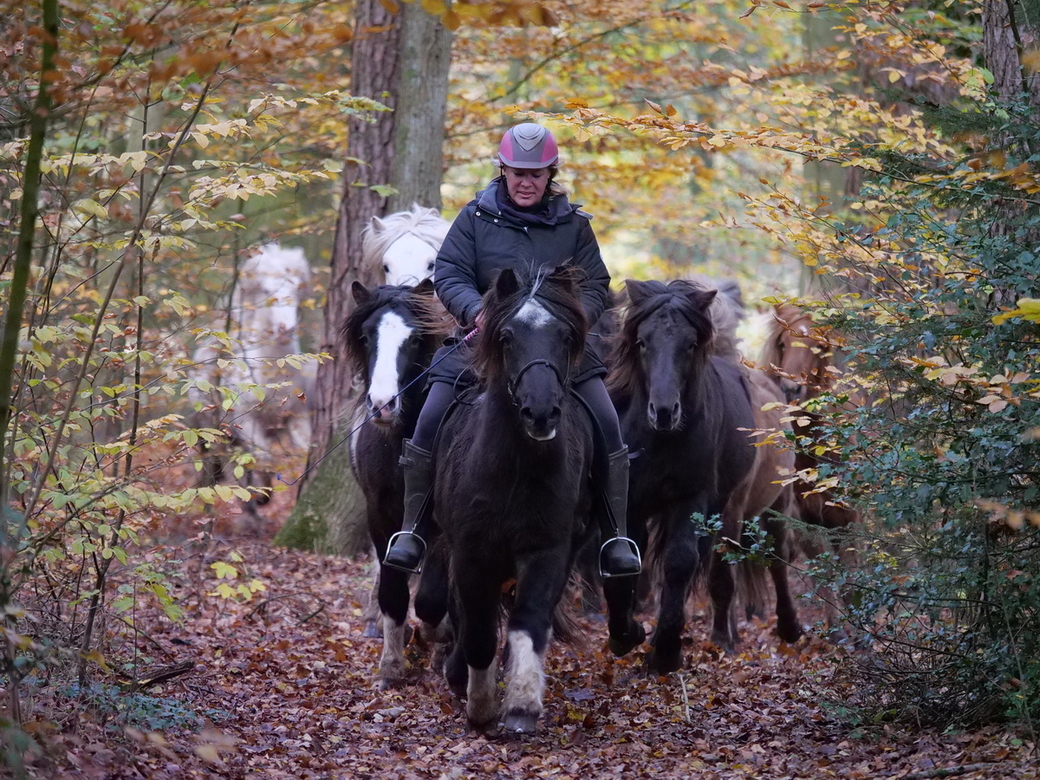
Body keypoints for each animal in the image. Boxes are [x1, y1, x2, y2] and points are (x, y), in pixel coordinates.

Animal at [187, 243, 316, 526]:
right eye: (266, 291)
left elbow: (303, 452)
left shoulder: (298, 418)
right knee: (217, 469)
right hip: (213, 437)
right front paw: (264, 496)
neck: (272, 376)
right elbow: (265, 458)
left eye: (294, 289)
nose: (285, 329)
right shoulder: (246, 423)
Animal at [430, 268, 594, 732]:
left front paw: (521, 704)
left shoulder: (547, 550)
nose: (540, 413)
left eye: (564, 336)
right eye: (506, 336)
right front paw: (480, 705)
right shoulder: (470, 552)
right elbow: (478, 629)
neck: (517, 469)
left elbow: (529, 621)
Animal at [603, 278, 773, 673]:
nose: (664, 412)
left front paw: (665, 653)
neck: (661, 440)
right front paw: (625, 635)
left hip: (725, 510)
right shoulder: (631, 500)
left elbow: (680, 561)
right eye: (642, 342)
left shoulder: (691, 498)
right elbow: (627, 559)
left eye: (690, 344)